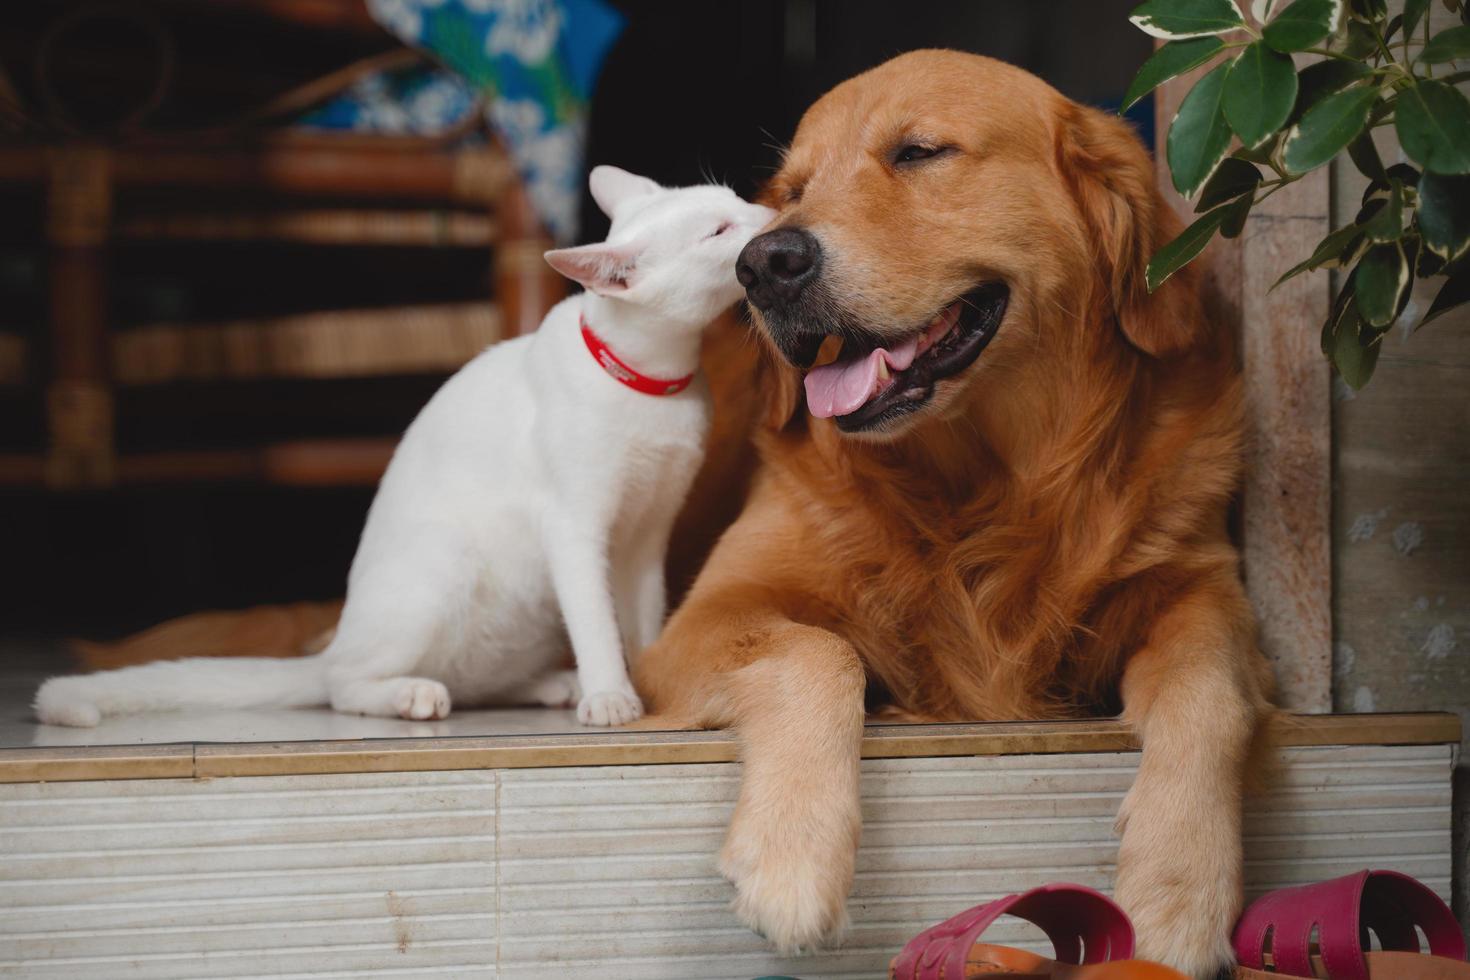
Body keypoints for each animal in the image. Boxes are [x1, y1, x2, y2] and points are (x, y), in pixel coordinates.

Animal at [34, 166, 776, 728]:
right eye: (718, 230)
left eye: (738, 202)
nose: (769, 215)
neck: (656, 382)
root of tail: (336, 640)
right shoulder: (576, 526)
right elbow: (596, 621)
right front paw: (610, 694)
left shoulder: (647, 533)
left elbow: (643, 617)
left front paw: (644, 673)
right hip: (441, 570)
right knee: (345, 685)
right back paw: (413, 695)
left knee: (468, 678)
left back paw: (541, 684)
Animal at [637, 49, 1281, 975]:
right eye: (792, 190)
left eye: (919, 152)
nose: (764, 265)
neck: (983, 490)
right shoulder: (697, 622)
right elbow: (817, 650)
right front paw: (792, 859)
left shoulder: (1203, 587)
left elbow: (1210, 693)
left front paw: (1180, 891)